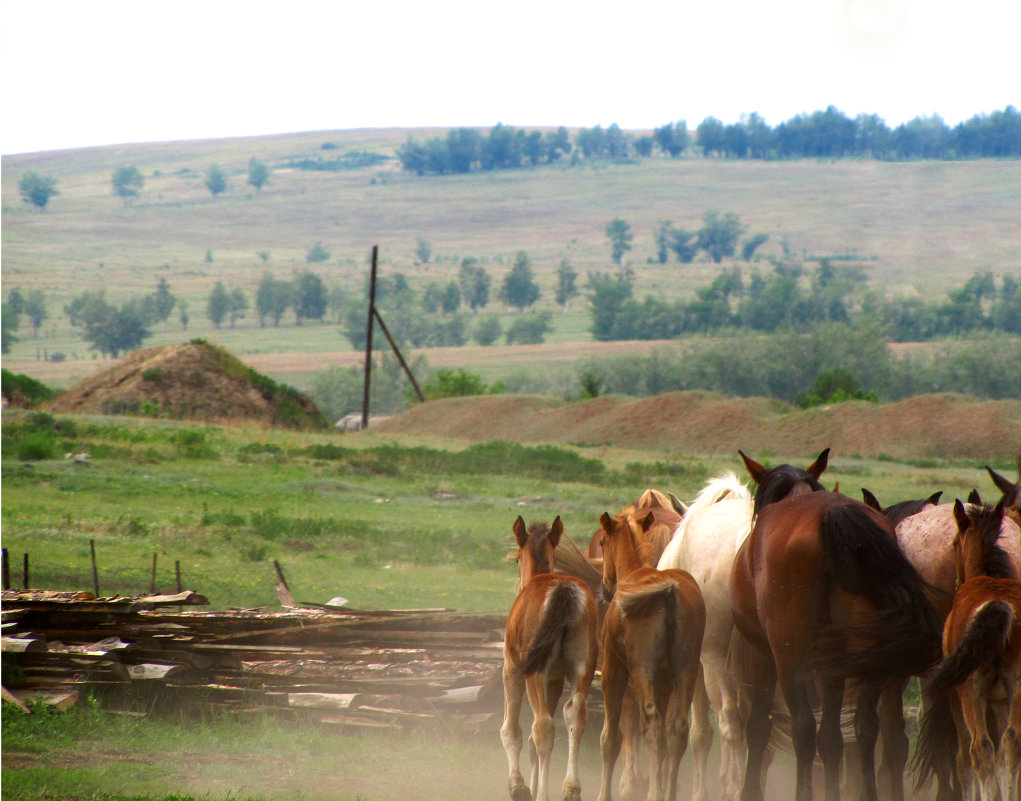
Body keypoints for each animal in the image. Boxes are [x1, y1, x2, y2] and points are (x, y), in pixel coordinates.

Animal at [500, 516, 596, 799]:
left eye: (516, 559)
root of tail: (564, 590)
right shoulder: (554, 680)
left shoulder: (512, 670)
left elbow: (512, 731)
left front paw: (519, 786)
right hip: (582, 669)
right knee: (575, 715)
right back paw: (571, 789)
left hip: (533, 674)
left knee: (542, 727)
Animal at [596, 510, 706, 799]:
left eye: (602, 542)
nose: (604, 587)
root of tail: (669, 592)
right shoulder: (665, 681)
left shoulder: (613, 671)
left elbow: (610, 738)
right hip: (686, 668)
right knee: (677, 728)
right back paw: (668, 793)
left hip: (641, 669)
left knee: (652, 723)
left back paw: (655, 793)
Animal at [735, 448, 939, 799]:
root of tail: (834, 513)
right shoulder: (833, 666)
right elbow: (831, 738)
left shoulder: (761, 652)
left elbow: (759, 726)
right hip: (865, 654)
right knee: (865, 727)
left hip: (790, 656)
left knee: (803, 728)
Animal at [914, 499, 1021, 799]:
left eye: (954, 543)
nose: (956, 582)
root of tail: (998, 606)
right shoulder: (1001, 701)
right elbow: (1002, 756)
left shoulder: (955, 696)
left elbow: (964, 759)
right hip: (1015, 689)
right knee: (1010, 744)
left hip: (971, 692)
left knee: (979, 750)